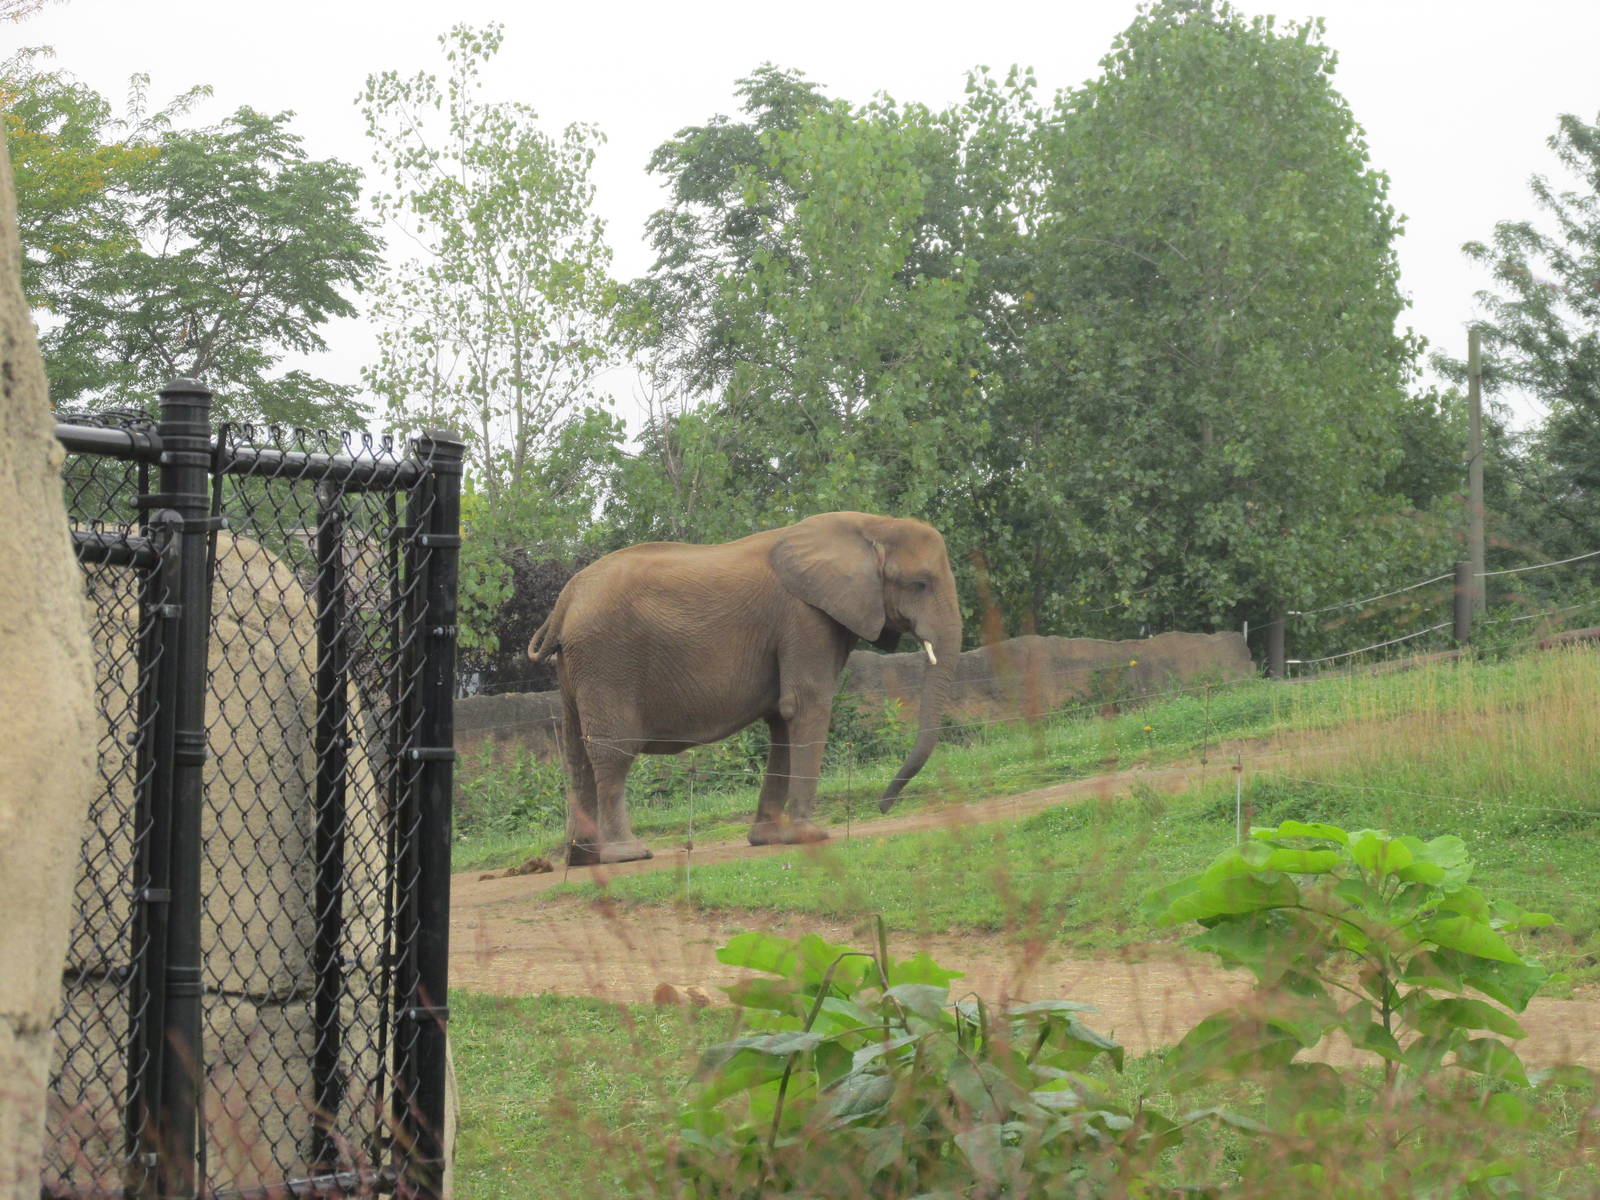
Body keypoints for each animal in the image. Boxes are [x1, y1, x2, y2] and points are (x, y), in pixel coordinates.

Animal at [526, 511, 962, 865]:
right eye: (920, 584)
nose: (883, 806)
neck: (870, 524)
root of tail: (565, 601)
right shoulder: (805, 618)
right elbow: (806, 705)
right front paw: (810, 835)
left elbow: (782, 718)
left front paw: (770, 838)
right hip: (607, 658)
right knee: (612, 751)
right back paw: (628, 854)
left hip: (577, 665)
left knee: (575, 751)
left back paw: (582, 858)